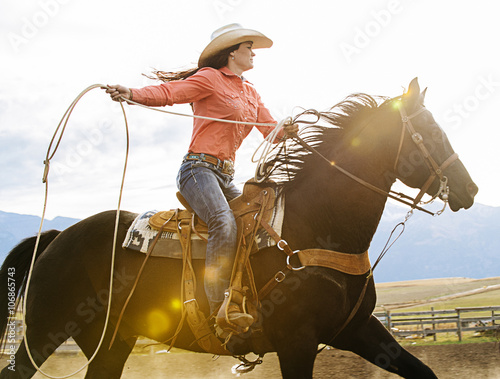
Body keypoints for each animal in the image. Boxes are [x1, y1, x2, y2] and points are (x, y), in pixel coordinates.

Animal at [0, 78, 476, 378]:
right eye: (430, 131)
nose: (470, 189)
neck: (316, 226)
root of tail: (57, 238)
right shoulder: (297, 342)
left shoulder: (357, 329)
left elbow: (424, 372)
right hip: (45, 330)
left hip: (110, 341)